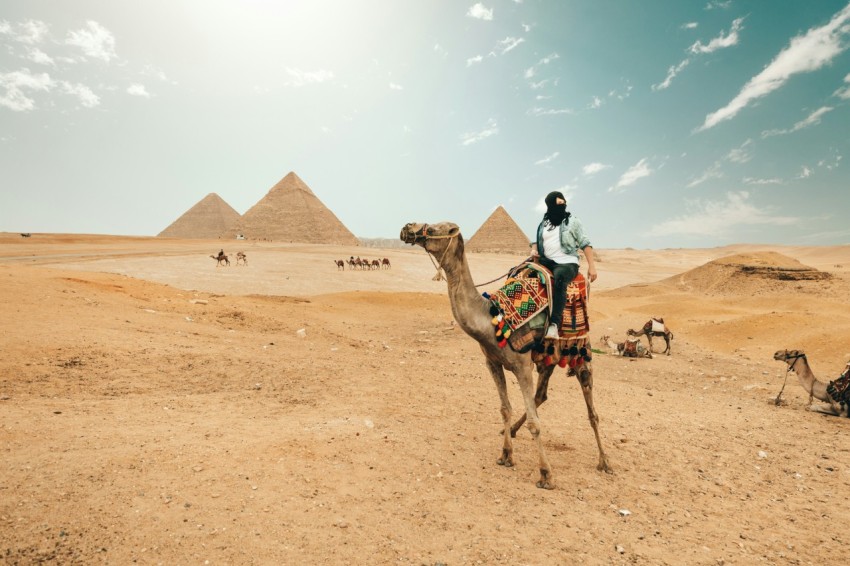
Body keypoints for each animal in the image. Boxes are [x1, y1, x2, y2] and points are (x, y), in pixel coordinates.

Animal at [400, 221, 611, 488]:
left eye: (440, 227)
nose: (408, 228)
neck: (491, 318)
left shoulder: (522, 365)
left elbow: (535, 423)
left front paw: (546, 474)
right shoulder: (493, 362)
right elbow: (505, 409)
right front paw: (506, 454)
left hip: (581, 352)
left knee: (591, 409)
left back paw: (605, 461)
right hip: (548, 357)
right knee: (541, 395)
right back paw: (511, 431)